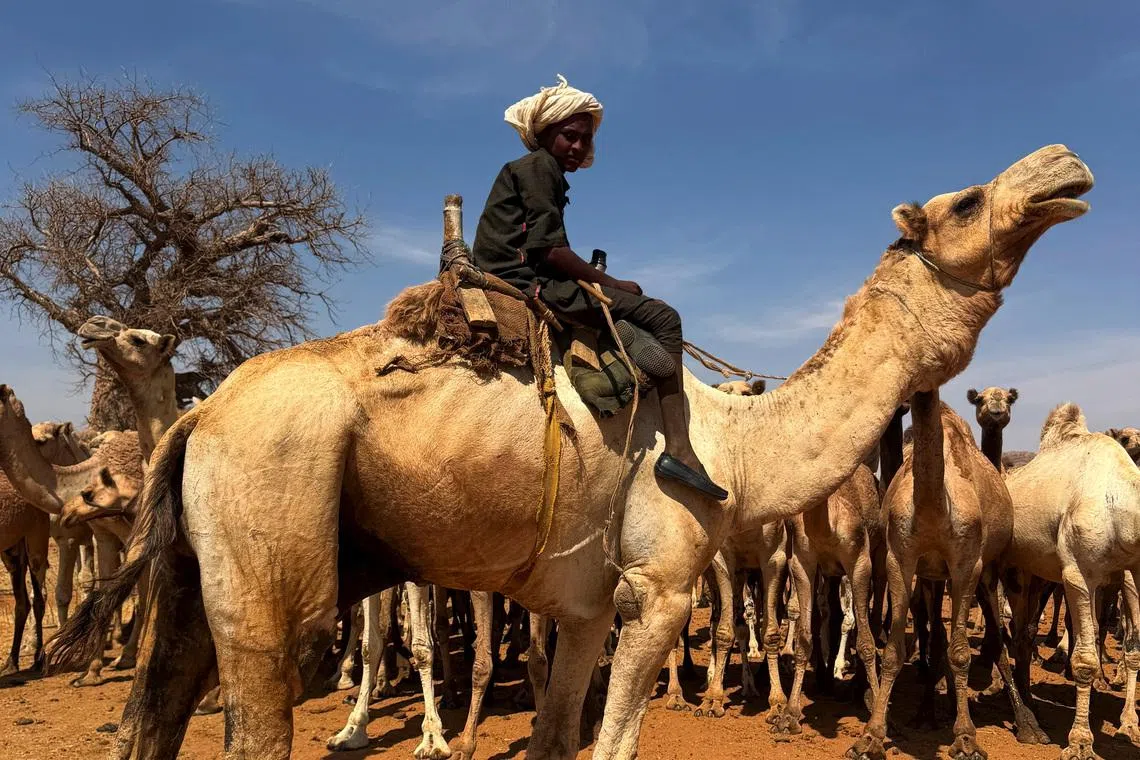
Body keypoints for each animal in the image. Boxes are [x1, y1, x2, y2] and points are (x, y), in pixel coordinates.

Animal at [849, 392, 1048, 760]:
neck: (935, 506)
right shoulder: (902, 559)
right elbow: (895, 651)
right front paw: (871, 737)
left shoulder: (968, 564)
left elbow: (960, 653)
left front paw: (966, 738)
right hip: (933, 576)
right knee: (940, 635)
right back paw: (930, 710)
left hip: (989, 568)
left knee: (996, 638)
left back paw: (1027, 723)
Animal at [1003, 404, 1140, 756]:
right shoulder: (1077, 573)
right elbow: (1084, 660)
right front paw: (1080, 743)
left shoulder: (1133, 574)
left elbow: (1133, 649)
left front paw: (1128, 725)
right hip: (1013, 568)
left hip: (1038, 572)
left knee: (1024, 632)